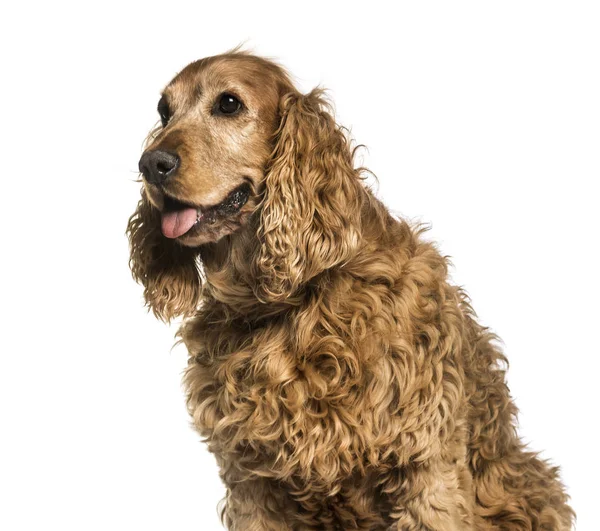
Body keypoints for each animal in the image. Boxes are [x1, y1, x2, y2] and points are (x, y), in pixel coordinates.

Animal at [126, 51, 572, 531]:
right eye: (163, 111)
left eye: (229, 104)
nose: (151, 164)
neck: (287, 303)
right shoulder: (252, 483)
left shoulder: (425, 468)